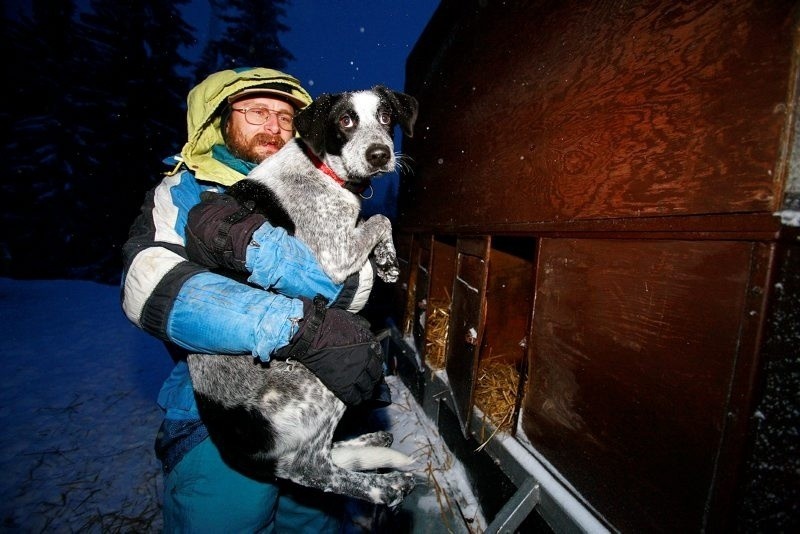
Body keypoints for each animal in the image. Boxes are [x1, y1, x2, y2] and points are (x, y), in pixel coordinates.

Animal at [187, 86, 422, 508]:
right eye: (345, 121)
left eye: (385, 117)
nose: (380, 155)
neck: (321, 167)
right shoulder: (332, 258)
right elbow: (380, 219)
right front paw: (387, 258)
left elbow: (375, 220)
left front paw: (386, 261)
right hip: (321, 383)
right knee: (310, 468)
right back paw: (388, 485)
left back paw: (370, 440)